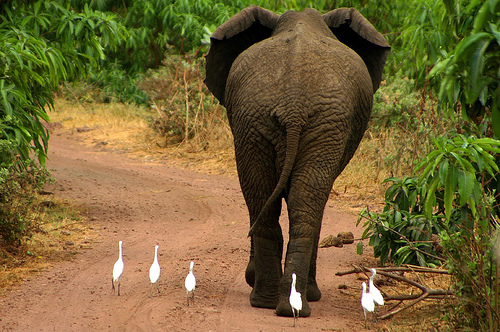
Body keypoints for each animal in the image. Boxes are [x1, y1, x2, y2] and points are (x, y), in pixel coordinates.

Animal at [204, 5, 390, 316]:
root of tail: (293, 105)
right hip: (314, 123)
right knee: (302, 203)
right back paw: (289, 303)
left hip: (258, 119)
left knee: (266, 199)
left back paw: (273, 303)